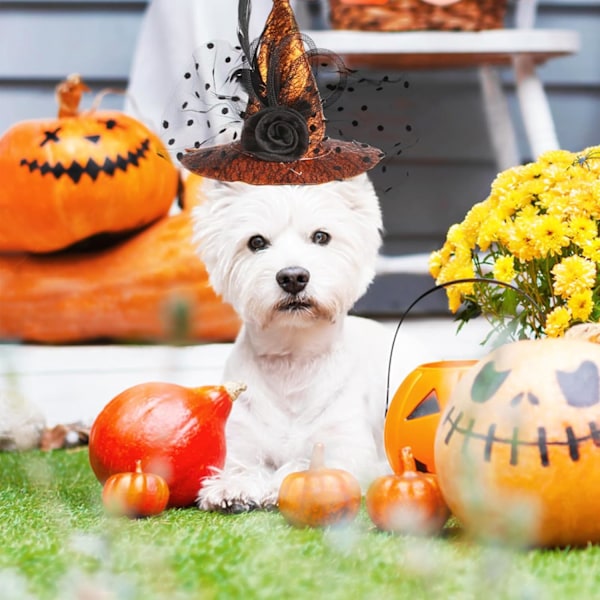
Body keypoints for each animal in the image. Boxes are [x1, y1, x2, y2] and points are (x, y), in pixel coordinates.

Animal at [191, 172, 390, 510]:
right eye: (256, 242)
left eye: (321, 237)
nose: (293, 277)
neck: (292, 358)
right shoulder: (239, 442)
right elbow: (239, 465)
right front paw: (232, 488)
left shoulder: (349, 450)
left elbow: (308, 463)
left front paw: (281, 485)